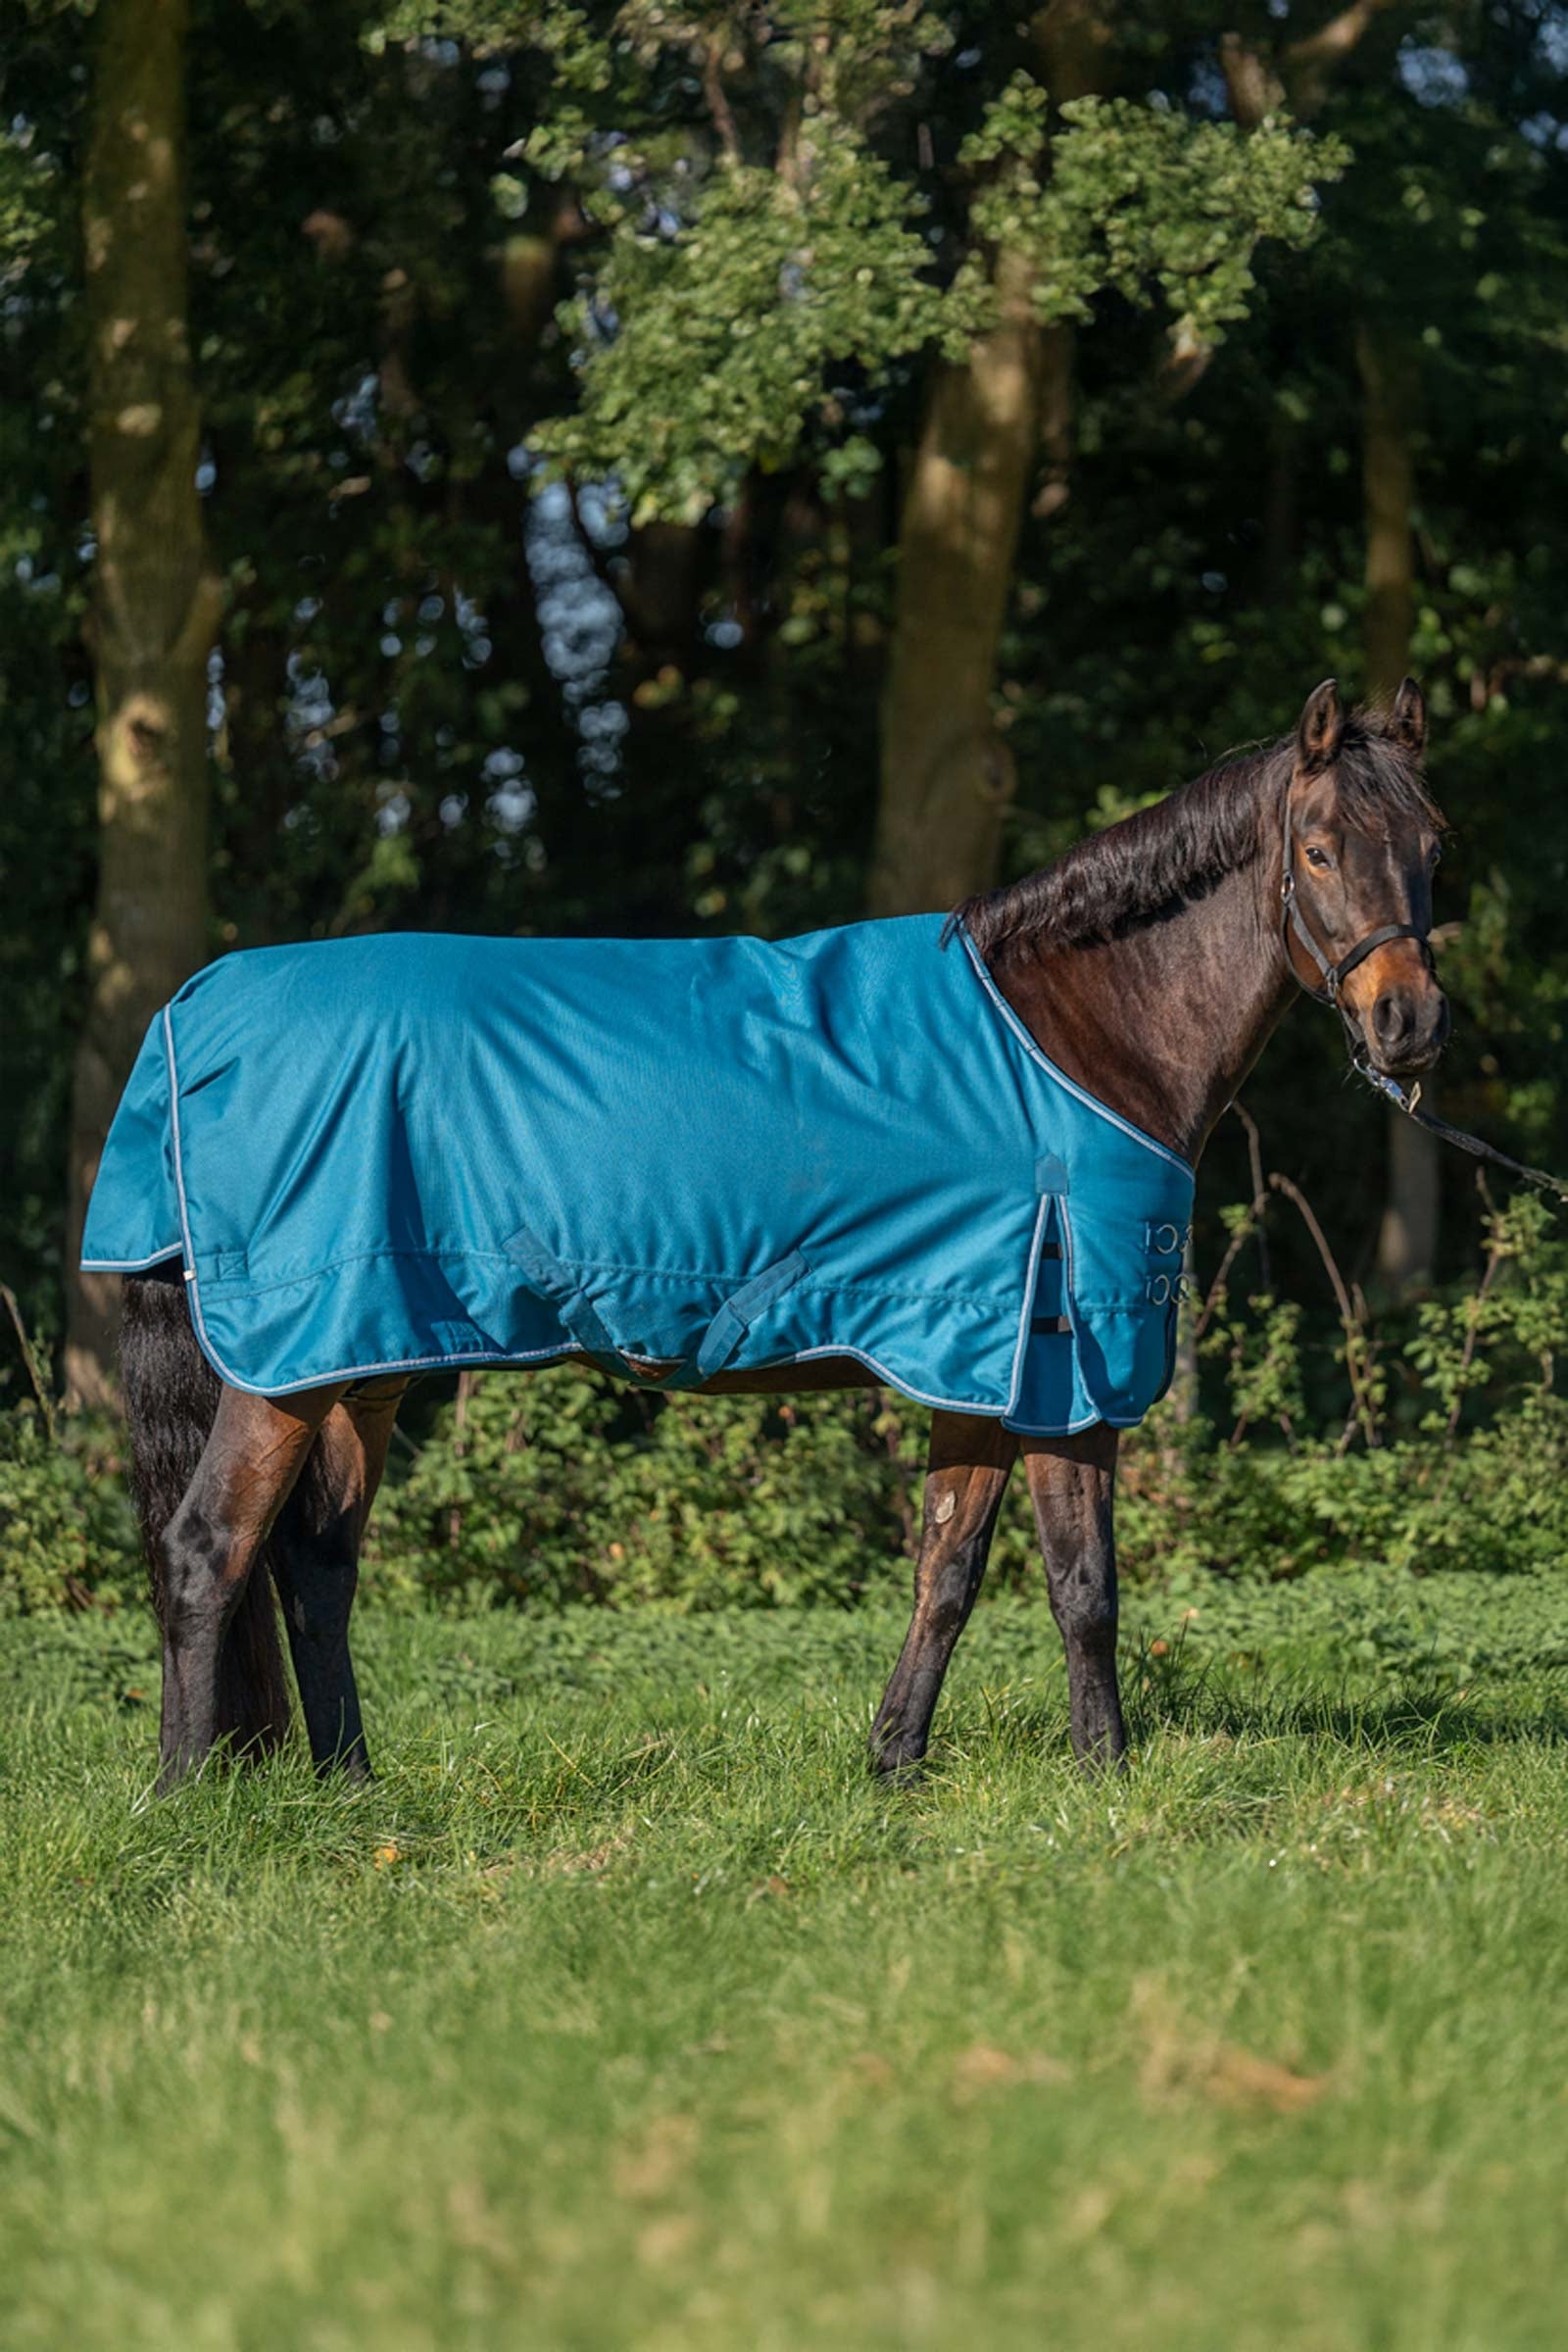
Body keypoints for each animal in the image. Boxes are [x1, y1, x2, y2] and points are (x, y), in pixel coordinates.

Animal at [113, 676, 1447, 1791]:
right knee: (206, 1551)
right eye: (1318, 849)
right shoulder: (1069, 1367)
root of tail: (193, 1011)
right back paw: (189, 1797)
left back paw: (350, 1785)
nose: (1410, 1022)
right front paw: (1107, 1774)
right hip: (283, 1364)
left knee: (315, 1569)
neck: (1076, 1039)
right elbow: (1084, 1585)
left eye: (1434, 845)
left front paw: (895, 1764)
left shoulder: (979, 1357)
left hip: (361, 1358)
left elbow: (946, 1572)